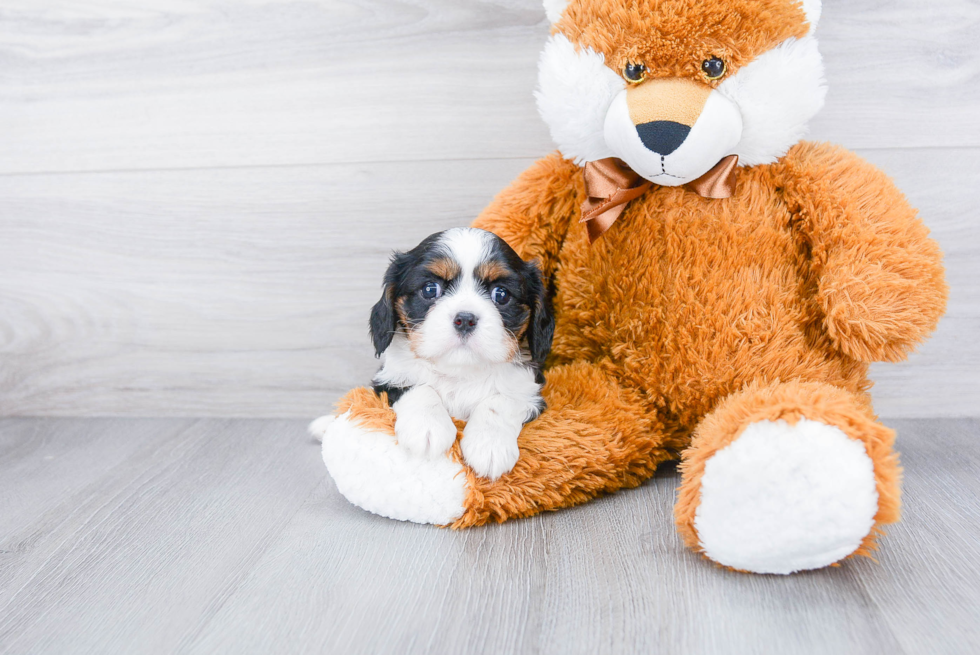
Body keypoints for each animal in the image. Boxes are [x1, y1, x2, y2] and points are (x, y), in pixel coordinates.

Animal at [368, 228, 556, 480]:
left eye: (501, 294)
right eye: (430, 289)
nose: (465, 319)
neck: (461, 372)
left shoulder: (528, 391)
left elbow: (500, 400)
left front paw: (489, 445)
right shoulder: (388, 378)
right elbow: (419, 388)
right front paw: (427, 428)